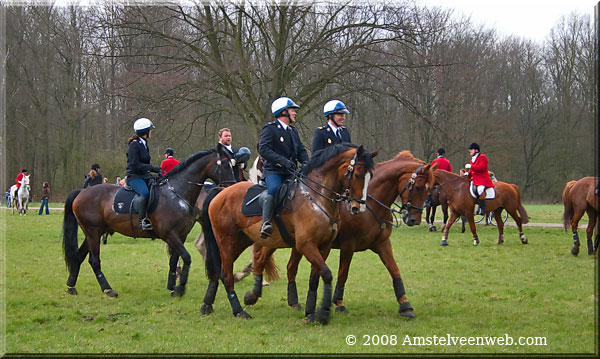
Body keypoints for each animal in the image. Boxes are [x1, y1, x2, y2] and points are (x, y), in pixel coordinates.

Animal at [61, 145, 239, 300]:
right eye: (224, 164)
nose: (232, 187)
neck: (176, 193)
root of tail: (81, 192)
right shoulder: (169, 234)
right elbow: (187, 257)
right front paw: (180, 288)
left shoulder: (180, 235)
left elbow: (174, 260)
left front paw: (172, 286)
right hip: (93, 232)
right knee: (94, 261)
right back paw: (108, 289)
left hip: (93, 233)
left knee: (79, 256)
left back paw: (71, 285)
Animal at [202, 145, 376, 324]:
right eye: (357, 175)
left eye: (371, 176)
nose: (358, 208)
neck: (317, 198)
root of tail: (221, 191)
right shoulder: (306, 245)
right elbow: (327, 274)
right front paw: (323, 312)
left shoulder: (324, 246)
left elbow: (315, 278)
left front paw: (310, 312)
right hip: (226, 242)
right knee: (226, 274)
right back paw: (238, 311)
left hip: (241, 241)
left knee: (223, 270)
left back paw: (209, 304)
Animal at [274, 151, 436, 320]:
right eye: (418, 187)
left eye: (429, 189)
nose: (414, 220)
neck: (371, 205)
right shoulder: (348, 245)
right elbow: (343, 274)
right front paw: (338, 304)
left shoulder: (383, 244)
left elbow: (394, 271)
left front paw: (405, 305)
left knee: (291, 267)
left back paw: (294, 302)